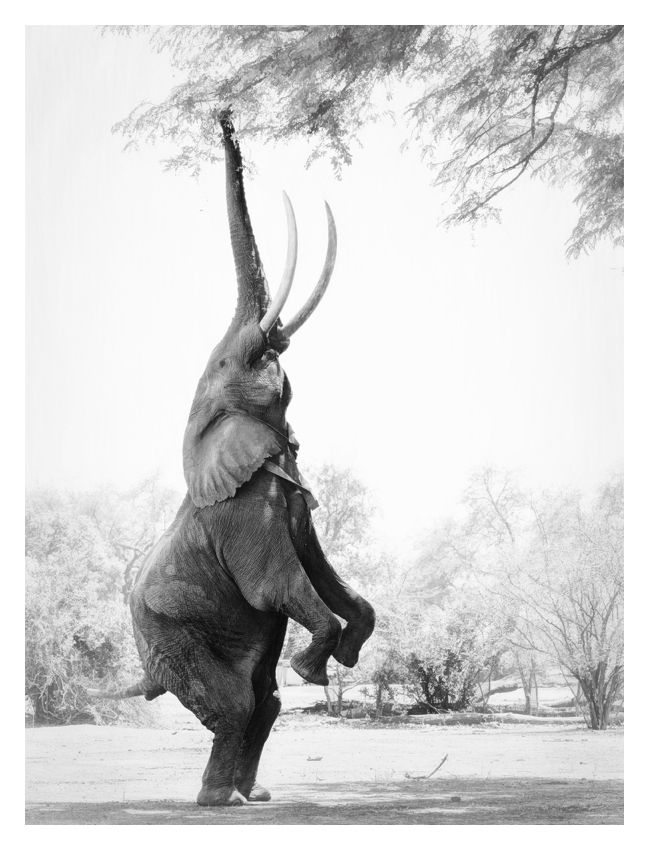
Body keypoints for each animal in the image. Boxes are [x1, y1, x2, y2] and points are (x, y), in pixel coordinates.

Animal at [109, 109, 375, 807]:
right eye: (233, 361)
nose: (225, 115)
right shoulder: (242, 516)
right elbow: (279, 584)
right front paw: (316, 668)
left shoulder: (290, 496)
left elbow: (327, 575)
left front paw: (343, 656)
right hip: (169, 632)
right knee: (235, 703)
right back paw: (212, 800)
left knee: (265, 701)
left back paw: (249, 796)